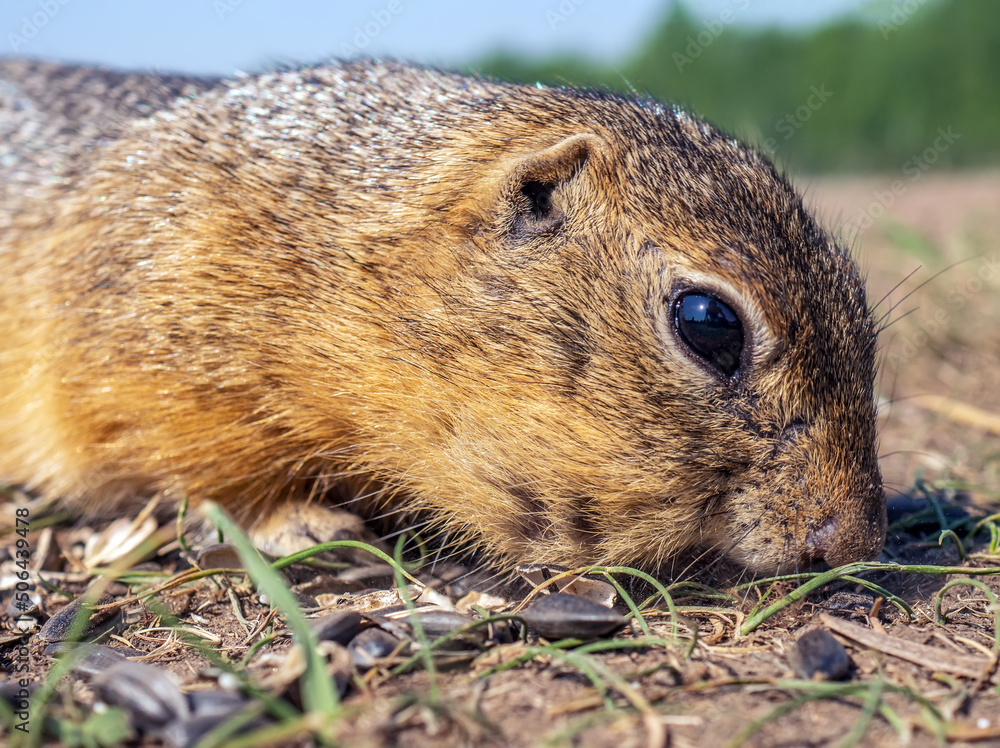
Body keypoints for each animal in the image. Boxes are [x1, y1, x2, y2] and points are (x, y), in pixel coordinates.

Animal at [0, 58, 884, 572]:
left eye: (856, 290)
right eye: (708, 323)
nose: (857, 541)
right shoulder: (149, 355)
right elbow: (194, 474)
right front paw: (304, 523)